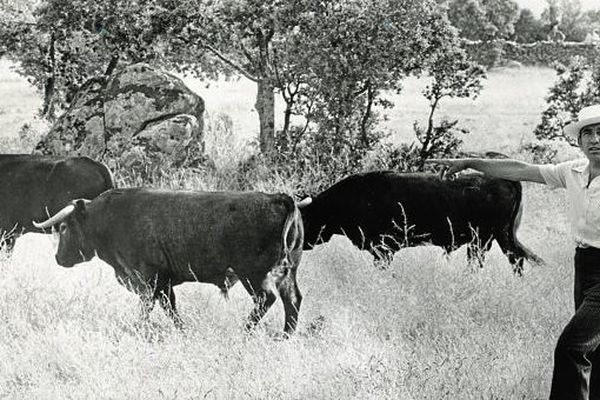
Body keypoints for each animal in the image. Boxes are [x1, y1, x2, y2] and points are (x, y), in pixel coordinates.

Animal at [302, 170, 540, 274]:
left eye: (303, 220)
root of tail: (507, 179)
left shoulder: (384, 249)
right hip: (495, 238)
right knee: (514, 258)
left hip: (484, 240)